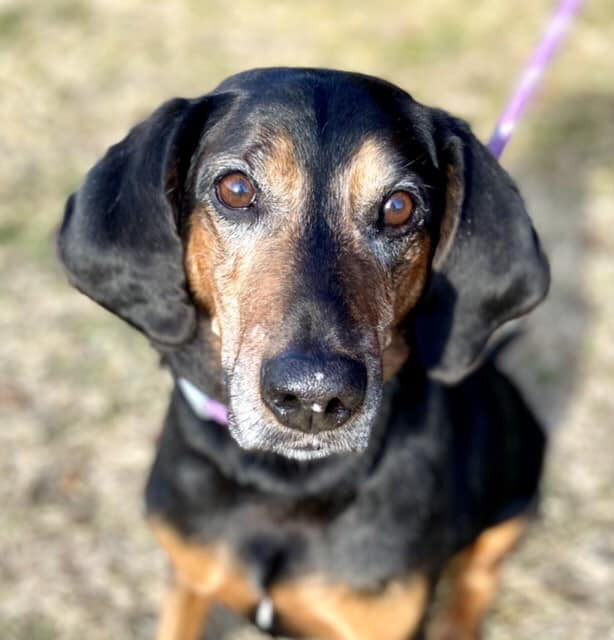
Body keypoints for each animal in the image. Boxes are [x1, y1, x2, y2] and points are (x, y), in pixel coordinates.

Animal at [57, 69, 552, 640]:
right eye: (235, 189)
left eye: (399, 207)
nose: (314, 398)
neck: (282, 483)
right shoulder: (188, 576)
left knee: (478, 577)